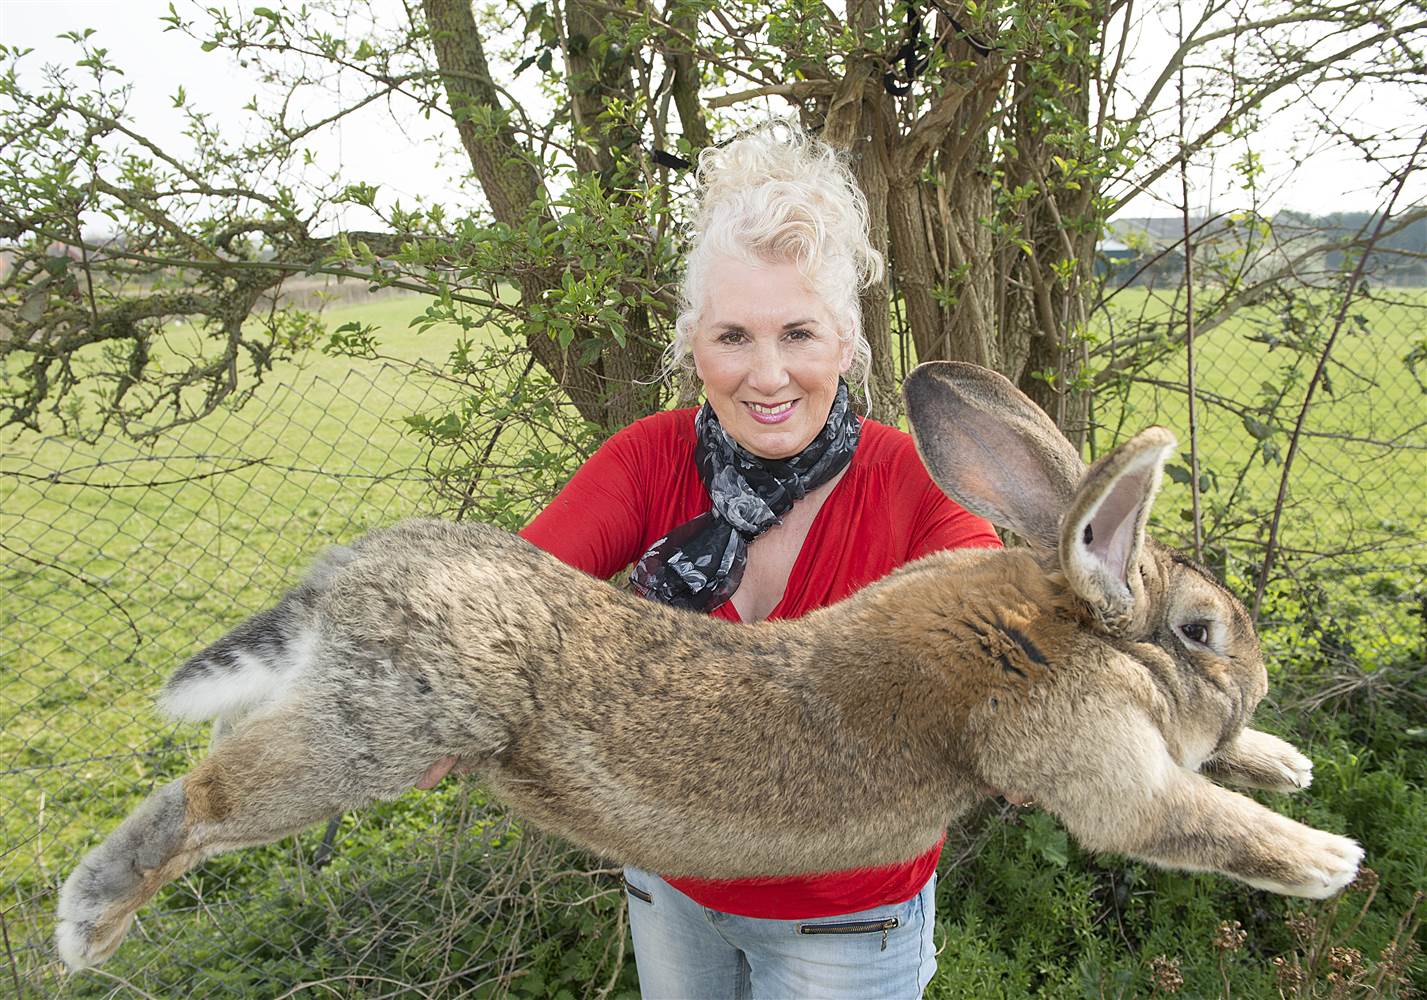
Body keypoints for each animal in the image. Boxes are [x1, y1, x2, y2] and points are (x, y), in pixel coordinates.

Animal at [55, 365, 1358, 970]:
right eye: (1200, 630)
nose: (1254, 683)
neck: (1057, 625)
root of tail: (343, 580)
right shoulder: (1095, 765)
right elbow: (1188, 818)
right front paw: (1324, 857)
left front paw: (1284, 760)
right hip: (376, 734)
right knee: (203, 798)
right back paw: (86, 927)